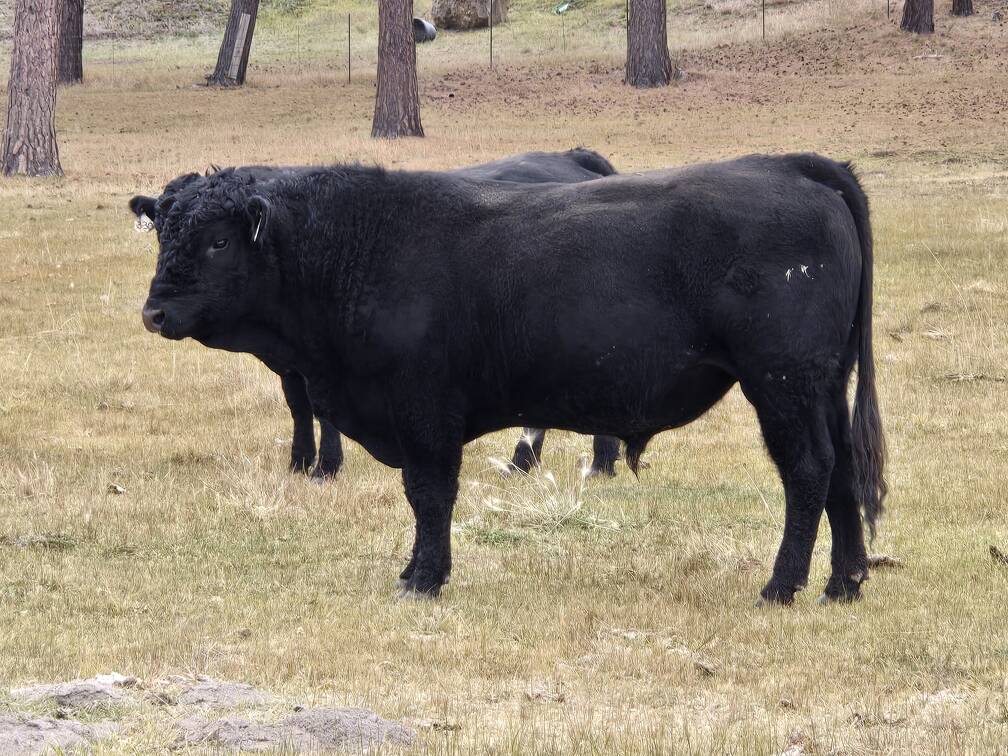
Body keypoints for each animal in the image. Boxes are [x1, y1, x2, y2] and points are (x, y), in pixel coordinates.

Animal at [131, 149, 621, 479]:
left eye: (219, 241)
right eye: (161, 233)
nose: (154, 314)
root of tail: (572, 157)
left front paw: (326, 467)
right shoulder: (291, 363)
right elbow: (299, 406)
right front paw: (299, 462)